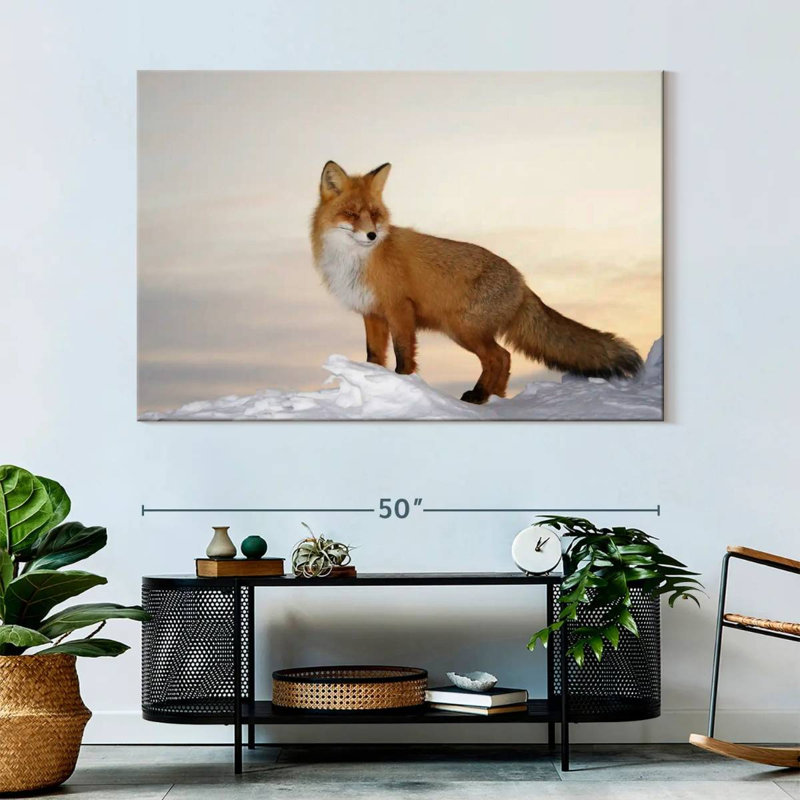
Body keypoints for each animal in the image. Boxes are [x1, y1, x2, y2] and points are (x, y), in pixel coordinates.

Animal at [311, 161, 643, 404]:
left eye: (375, 214)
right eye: (352, 214)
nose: (372, 235)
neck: (357, 261)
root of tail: (522, 281)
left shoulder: (400, 310)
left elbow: (404, 355)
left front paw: (403, 384)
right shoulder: (372, 313)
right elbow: (374, 356)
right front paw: (373, 383)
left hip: (463, 329)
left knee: (500, 357)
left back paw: (479, 396)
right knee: (504, 359)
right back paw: (493, 398)